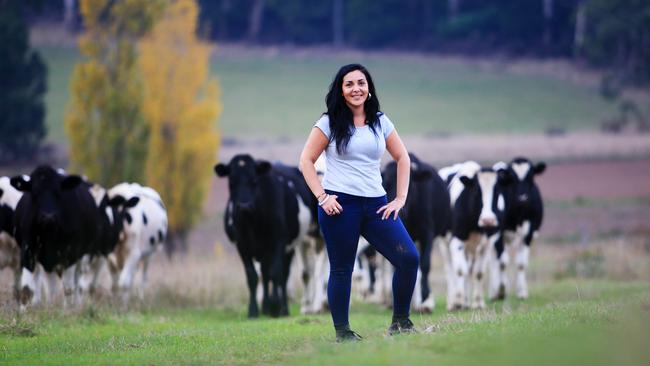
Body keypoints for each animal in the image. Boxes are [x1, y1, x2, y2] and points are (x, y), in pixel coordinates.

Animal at [11, 167, 101, 308]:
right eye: (34, 192)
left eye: (58, 192)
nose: (48, 216)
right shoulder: (27, 251)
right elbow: (26, 289)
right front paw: (24, 311)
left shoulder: (71, 254)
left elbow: (69, 288)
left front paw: (68, 311)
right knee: (51, 286)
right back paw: (50, 304)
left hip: (81, 257)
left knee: (76, 284)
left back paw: (76, 305)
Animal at [215, 154, 312, 318]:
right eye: (231, 182)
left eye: (254, 180)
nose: (244, 206)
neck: (252, 222)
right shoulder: (242, 246)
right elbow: (252, 276)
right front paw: (253, 311)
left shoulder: (278, 242)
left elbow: (276, 274)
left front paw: (276, 307)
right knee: (265, 275)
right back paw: (265, 307)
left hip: (288, 248)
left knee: (282, 276)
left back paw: (282, 308)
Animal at [380, 153, 450, 314]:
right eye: (385, 184)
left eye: (409, 184)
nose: (399, 211)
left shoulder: (427, 234)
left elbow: (425, 264)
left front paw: (426, 300)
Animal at [438, 160, 508, 308]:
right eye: (476, 191)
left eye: (497, 191)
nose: (488, 219)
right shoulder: (456, 240)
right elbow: (459, 270)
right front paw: (458, 302)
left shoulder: (486, 244)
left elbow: (478, 273)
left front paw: (478, 302)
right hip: (444, 243)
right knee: (450, 270)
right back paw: (453, 302)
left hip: (472, 249)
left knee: (470, 269)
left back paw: (466, 301)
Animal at [488, 158, 544, 300]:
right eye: (512, 178)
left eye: (531, 176)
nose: (522, 198)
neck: (519, 213)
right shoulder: (499, 234)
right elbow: (502, 262)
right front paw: (501, 290)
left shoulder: (529, 234)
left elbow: (521, 263)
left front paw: (522, 292)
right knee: (494, 261)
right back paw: (494, 292)